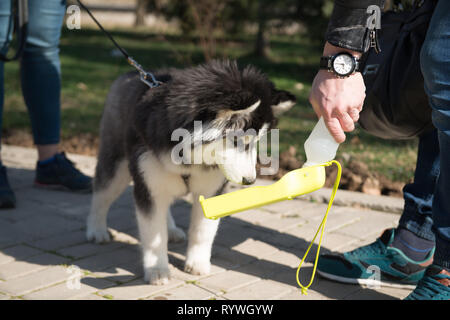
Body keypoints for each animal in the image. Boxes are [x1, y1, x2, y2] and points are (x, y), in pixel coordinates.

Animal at [86, 60, 298, 284]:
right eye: (237, 141)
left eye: (257, 141)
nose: (250, 180)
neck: (189, 158)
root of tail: (131, 74)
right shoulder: (148, 185)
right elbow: (153, 233)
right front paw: (157, 269)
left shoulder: (211, 189)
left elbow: (203, 231)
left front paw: (197, 263)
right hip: (117, 164)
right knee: (102, 192)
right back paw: (96, 229)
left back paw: (170, 229)